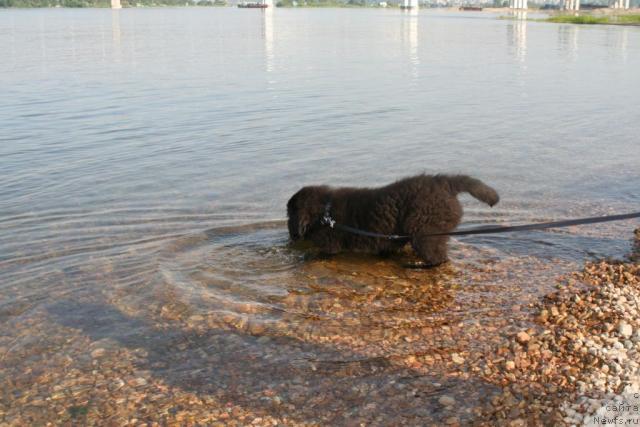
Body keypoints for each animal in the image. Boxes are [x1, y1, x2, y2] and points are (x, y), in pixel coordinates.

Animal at [286, 175, 500, 268]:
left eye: (289, 215)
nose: (291, 237)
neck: (325, 212)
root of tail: (445, 182)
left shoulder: (330, 245)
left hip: (424, 232)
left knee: (439, 258)